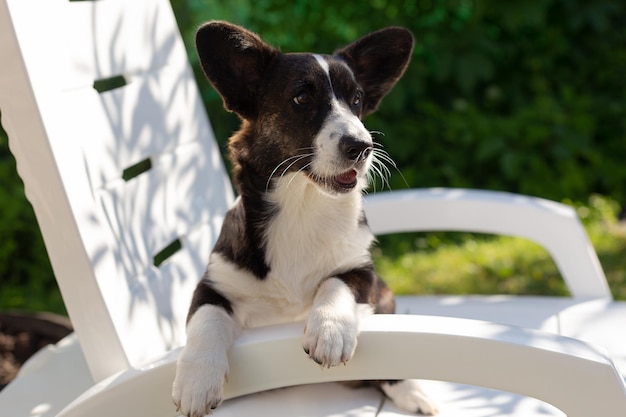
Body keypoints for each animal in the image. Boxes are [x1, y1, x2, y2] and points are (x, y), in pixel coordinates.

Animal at [168, 21, 436, 414]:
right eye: (302, 98)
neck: (302, 205)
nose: (362, 147)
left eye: (357, 100)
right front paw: (195, 381)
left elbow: (336, 282)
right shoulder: (214, 286)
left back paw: (413, 392)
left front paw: (329, 331)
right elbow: (205, 321)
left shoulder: (363, 272)